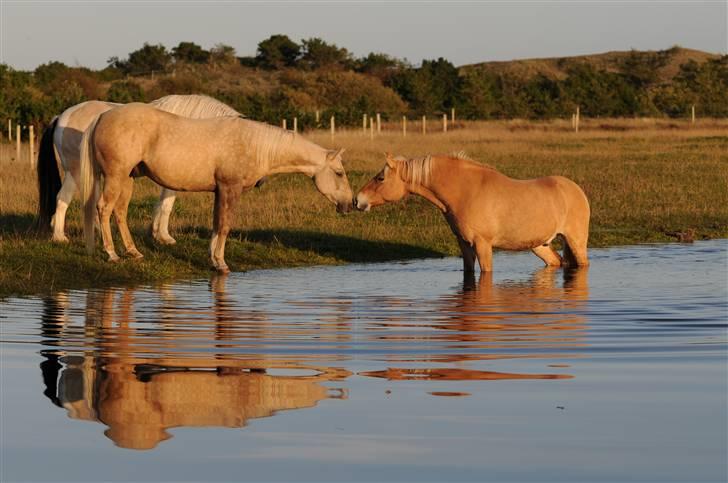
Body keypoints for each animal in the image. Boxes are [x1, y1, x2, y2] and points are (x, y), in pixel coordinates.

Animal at [36, 95, 242, 246]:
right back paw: (60, 237)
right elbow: (167, 205)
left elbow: (162, 204)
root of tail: (61, 117)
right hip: (75, 173)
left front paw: (157, 234)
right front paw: (165, 237)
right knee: (62, 199)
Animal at [79, 104, 352, 274]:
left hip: (127, 179)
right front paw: (221, 263)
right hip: (115, 177)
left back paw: (133, 252)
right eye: (339, 173)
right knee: (104, 209)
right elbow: (224, 225)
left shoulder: (219, 192)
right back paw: (112, 254)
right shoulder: (230, 189)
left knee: (120, 212)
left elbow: (215, 224)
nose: (350, 205)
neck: (256, 146)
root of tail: (102, 117)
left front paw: (213, 259)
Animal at [356, 153, 592, 270]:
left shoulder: (483, 244)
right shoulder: (464, 243)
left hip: (576, 241)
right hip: (539, 245)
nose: (357, 200)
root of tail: (575, 189)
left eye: (381, 178)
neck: (465, 191)